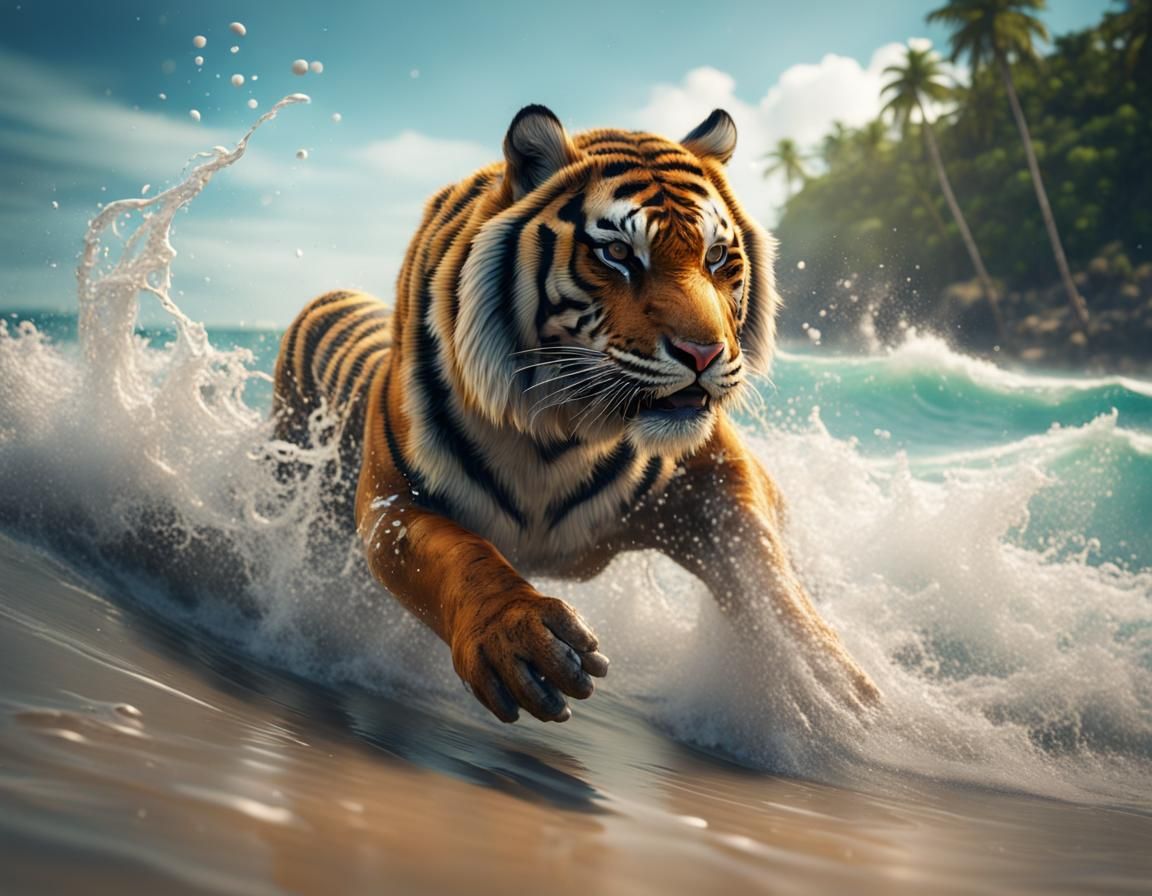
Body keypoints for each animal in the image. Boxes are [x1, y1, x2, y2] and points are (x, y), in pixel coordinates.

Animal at [272, 105, 880, 724]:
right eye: (618, 254)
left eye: (715, 257)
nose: (703, 354)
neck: (559, 431)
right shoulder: (395, 502)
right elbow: (459, 557)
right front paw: (521, 640)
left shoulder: (716, 472)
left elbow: (763, 571)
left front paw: (824, 685)